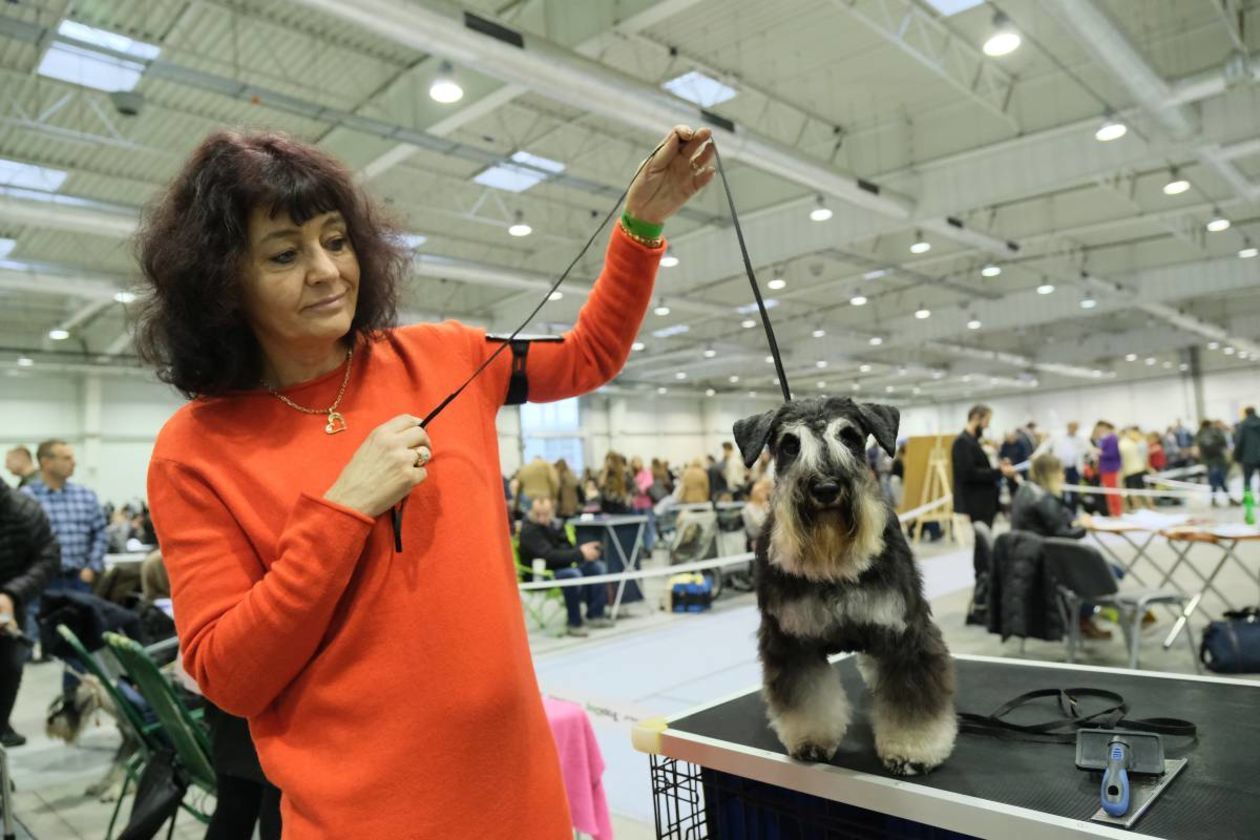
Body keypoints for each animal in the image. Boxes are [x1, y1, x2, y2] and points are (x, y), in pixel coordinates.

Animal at [735, 397, 957, 780]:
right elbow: (806, 697)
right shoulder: (791, 642)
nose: (826, 488)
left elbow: (913, 698)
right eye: (790, 445)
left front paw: (913, 749)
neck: (832, 562)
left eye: (850, 437)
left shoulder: (903, 634)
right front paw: (810, 740)